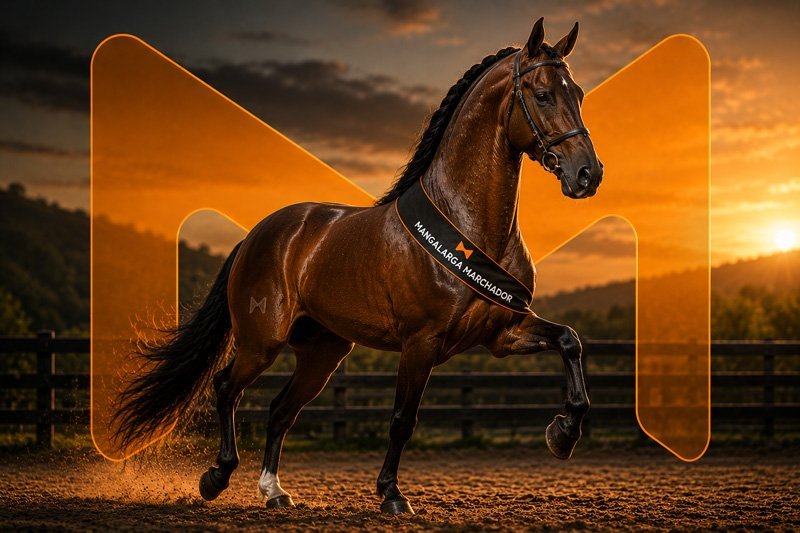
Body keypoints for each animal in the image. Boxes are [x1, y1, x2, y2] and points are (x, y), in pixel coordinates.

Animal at [113, 17, 603, 515]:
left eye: (579, 93)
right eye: (542, 94)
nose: (588, 174)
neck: (466, 223)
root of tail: (257, 235)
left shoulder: (503, 333)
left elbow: (570, 341)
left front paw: (563, 434)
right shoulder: (421, 342)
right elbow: (403, 418)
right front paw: (391, 494)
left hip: (322, 353)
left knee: (279, 411)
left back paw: (274, 491)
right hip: (261, 342)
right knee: (226, 387)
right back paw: (216, 477)